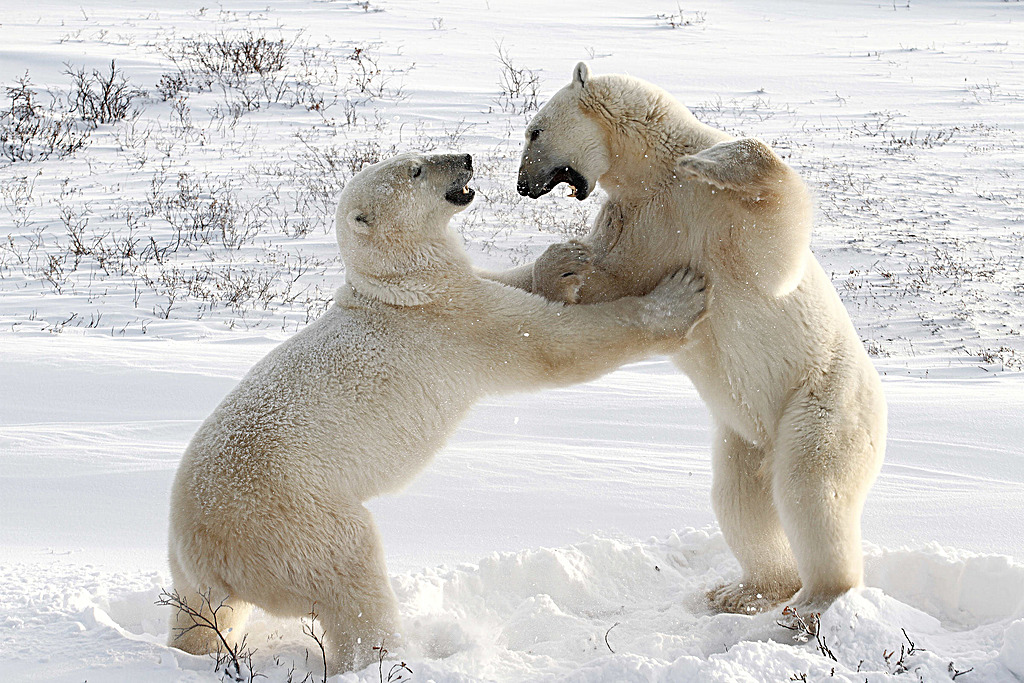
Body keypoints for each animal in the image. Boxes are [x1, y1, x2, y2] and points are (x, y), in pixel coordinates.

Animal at [483, 65, 884, 614]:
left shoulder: (711, 213)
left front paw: (708, 161)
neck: (651, 175)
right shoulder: (633, 224)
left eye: (534, 131)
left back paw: (816, 601)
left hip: (820, 400)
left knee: (811, 487)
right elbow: (603, 286)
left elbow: (777, 238)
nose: (524, 184)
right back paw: (746, 590)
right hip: (744, 438)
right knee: (740, 500)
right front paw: (562, 265)